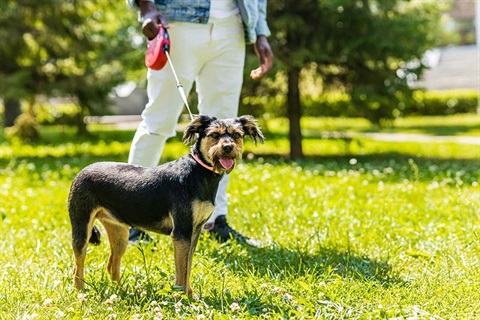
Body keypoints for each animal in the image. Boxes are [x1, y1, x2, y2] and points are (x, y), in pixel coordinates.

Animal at [67, 114, 264, 296]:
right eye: (214, 135)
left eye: (237, 135)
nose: (228, 147)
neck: (199, 172)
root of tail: (81, 171)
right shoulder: (181, 232)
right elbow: (182, 270)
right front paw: (182, 297)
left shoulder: (194, 231)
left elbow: (188, 267)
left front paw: (189, 294)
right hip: (82, 228)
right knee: (78, 266)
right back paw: (80, 293)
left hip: (119, 232)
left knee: (111, 265)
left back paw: (121, 292)